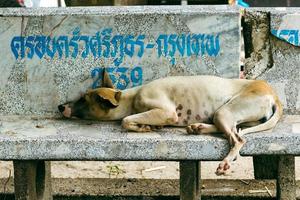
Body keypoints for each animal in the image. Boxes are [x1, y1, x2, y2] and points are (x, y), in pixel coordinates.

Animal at [58, 70, 282, 175]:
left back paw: (225, 162)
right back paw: (198, 127)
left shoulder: (167, 111)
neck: (131, 97)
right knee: (234, 129)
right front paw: (150, 126)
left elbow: (125, 120)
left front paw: (145, 126)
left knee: (237, 139)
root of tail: (273, 94)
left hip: (226, 112)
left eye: (83, 100)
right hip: (224, 114)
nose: (60, 106)